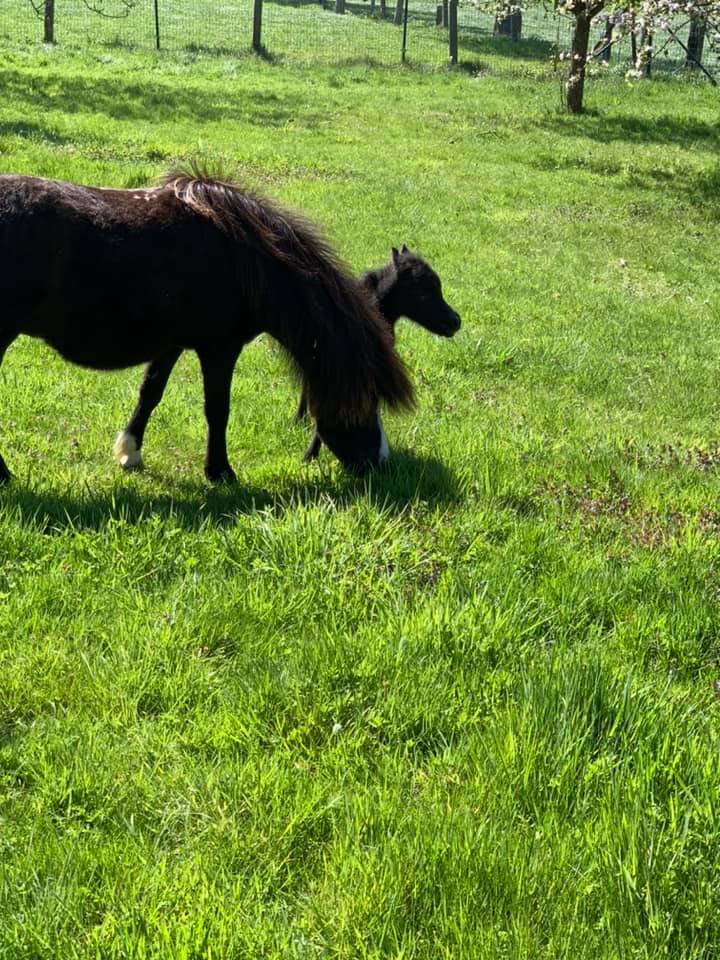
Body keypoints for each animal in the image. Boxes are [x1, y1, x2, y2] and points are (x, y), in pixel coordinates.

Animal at [0, 167, 414, 485]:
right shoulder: (220, 348)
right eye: (367, 398)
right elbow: (218, 409)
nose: (379, 462)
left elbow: (150, 394)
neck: (245, 256)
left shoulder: (170, 343)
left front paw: (129, 452)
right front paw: (220, 472)